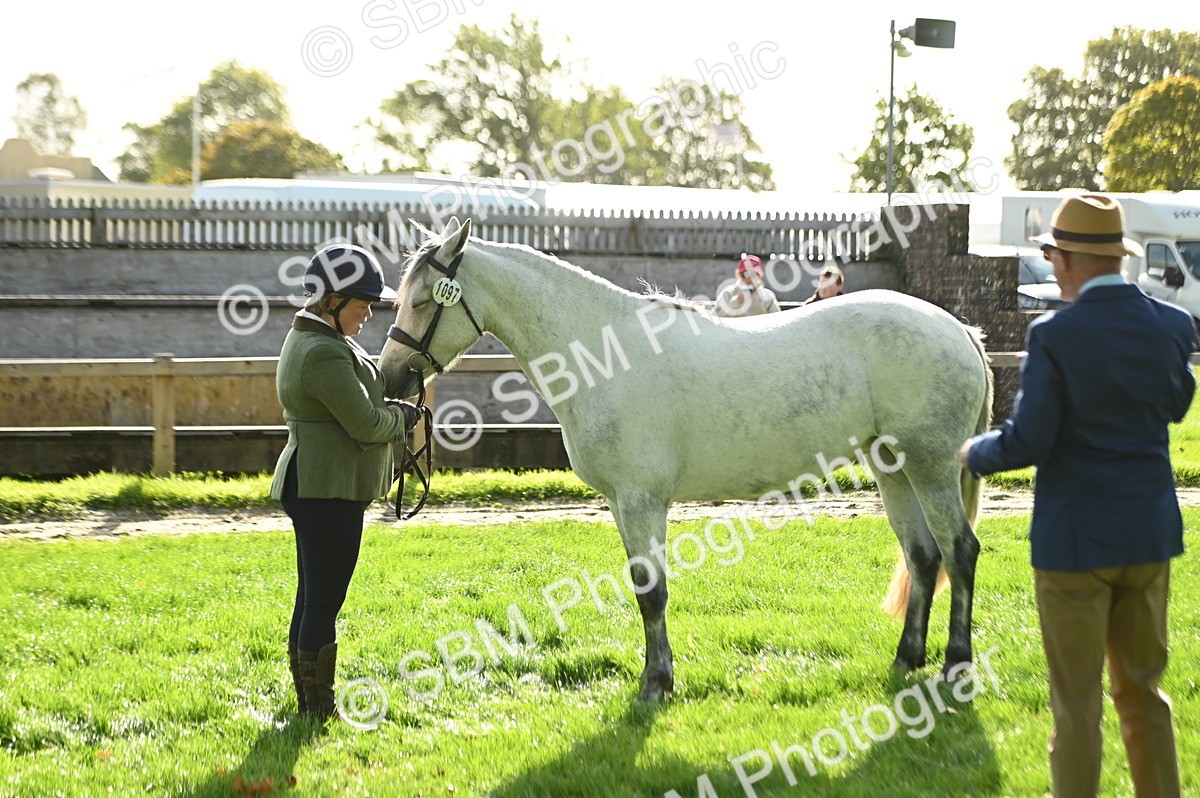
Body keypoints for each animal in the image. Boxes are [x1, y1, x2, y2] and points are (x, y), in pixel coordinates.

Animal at [379, 218, 993, 702]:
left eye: (421, 301)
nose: (389, 378)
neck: (604, 354)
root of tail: (959, 329)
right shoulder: (622, 504)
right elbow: (642, 588)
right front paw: (658, 676)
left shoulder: (642, 500)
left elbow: (652, 592)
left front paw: (656, 684)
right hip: (894, 468)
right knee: (923, 557)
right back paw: (906, 658)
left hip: (931, 466)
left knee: (959, 551)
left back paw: (955, 663)